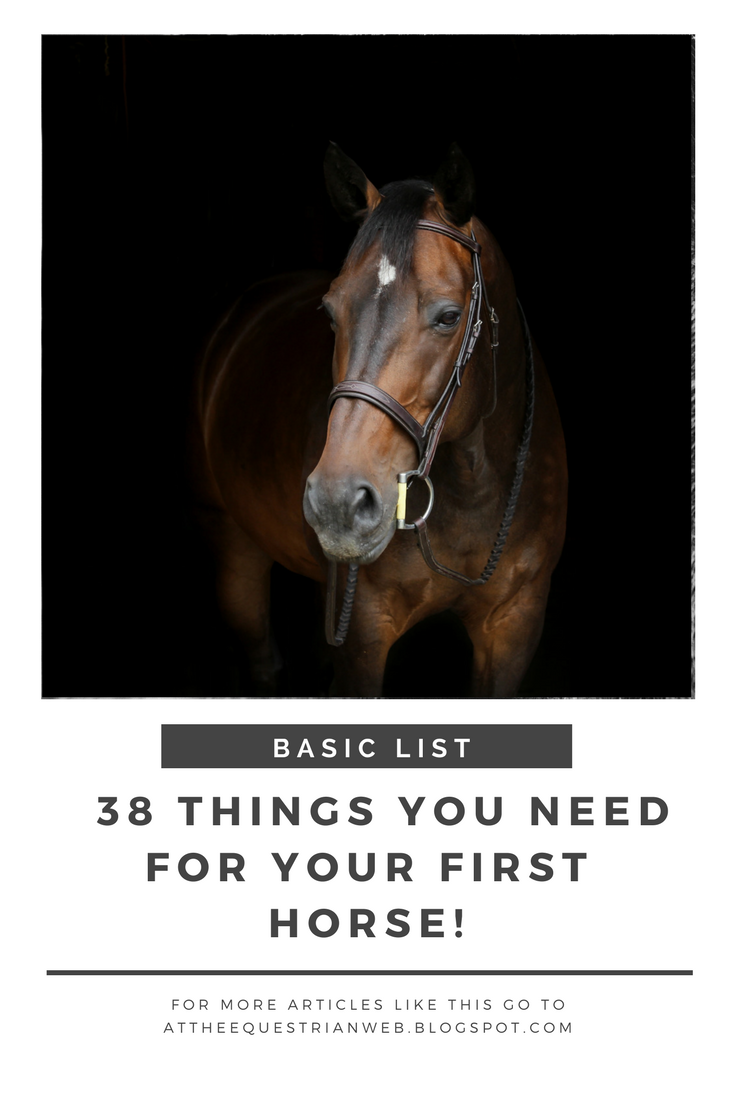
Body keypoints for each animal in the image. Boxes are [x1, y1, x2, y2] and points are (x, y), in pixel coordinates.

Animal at [189, 143, 567, 697]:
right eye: (330, 312)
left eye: (449, 317)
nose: (337, 502)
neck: (474, 488)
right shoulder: (364, 634)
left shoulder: (514, 625)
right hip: (232, 544)